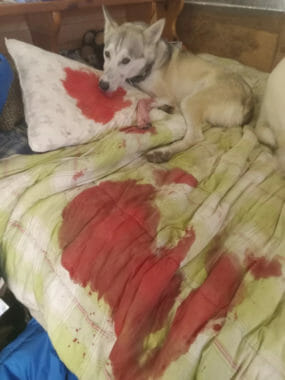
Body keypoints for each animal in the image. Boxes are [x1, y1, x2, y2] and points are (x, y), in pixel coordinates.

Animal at [99, 6, 253, 162]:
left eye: (126, 60)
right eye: (107, 54)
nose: (102, 85)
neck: (150, 66)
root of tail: (248, 99)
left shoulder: (167, 96)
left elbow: (142, 100)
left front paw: (143, 116)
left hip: (189, 101)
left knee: (194, 137)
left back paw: (162, 152)